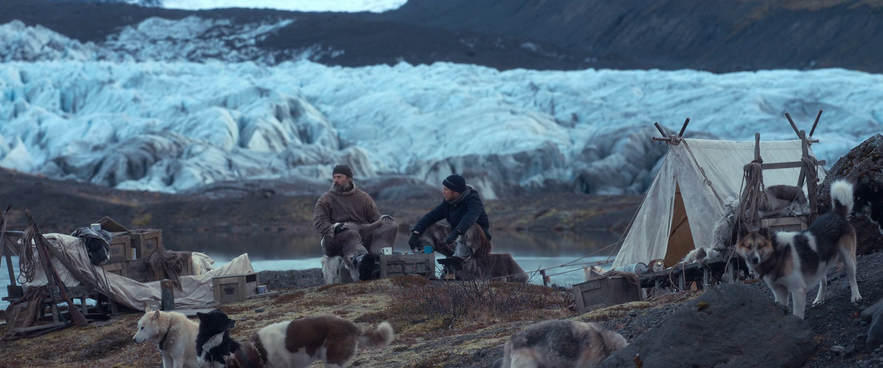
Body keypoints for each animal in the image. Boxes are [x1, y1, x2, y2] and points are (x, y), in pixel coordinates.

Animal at [732, 180, 864, 318]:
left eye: (760, 246)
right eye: (748, 247)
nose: (754, 259)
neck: (777, 254)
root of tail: (837, 214)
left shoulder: (798, 290)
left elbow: (797, 314)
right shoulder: (780, 292)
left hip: (847, 258)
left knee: (852, 278)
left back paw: (855, 296)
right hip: (820, 264)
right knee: (824, 282)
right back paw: (819, 299)